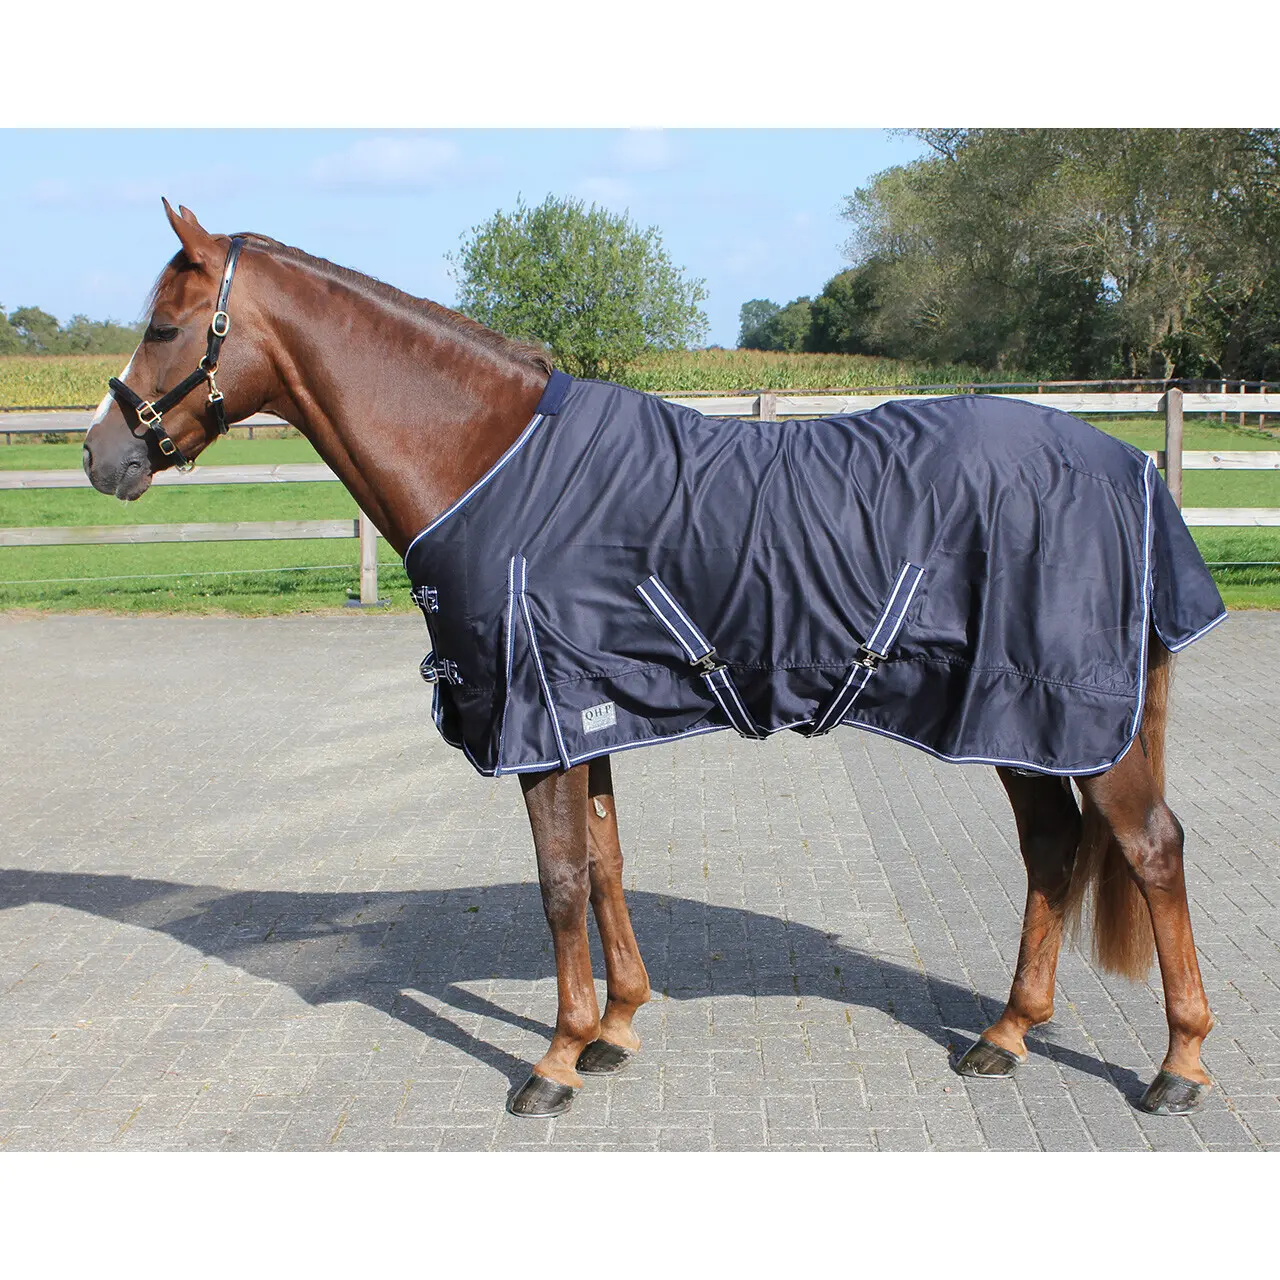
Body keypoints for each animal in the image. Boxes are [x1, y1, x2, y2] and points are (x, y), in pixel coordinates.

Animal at [82, 199, 1221, 1120]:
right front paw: (616, 1026)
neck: (492, 462)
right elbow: (604, 866)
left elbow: (556, 884)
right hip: (1015, 720)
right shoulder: (584, 714)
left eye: (164, 326)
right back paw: (1005, 1035)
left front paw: (552, 1060)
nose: (101, 456)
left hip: (1067, 719)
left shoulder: (533, 723)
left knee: (1151, 848)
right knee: (1053, 851)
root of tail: (1127, 464)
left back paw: (1177, 1066)